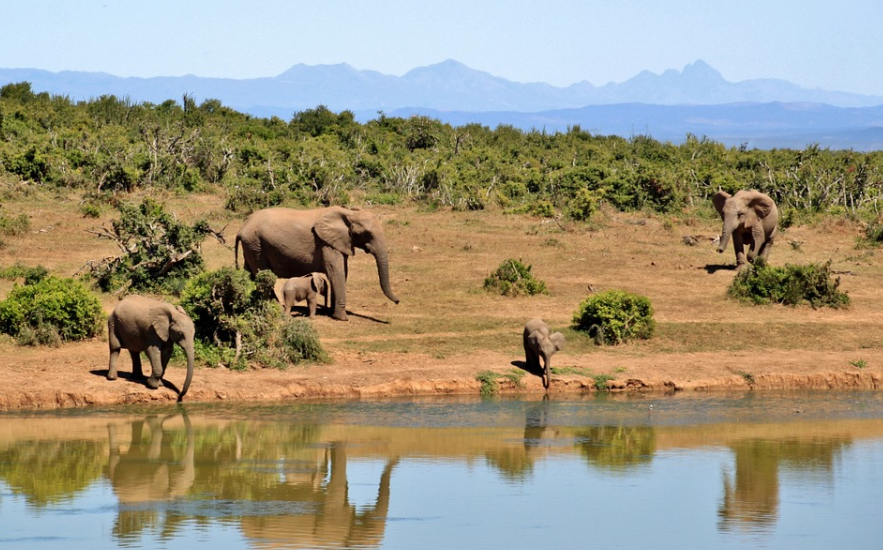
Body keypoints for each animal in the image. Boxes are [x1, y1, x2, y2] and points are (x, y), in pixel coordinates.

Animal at [235, 207, 400, 322]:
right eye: (366, 234)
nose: (398, 301)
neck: (348, 213)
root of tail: (242, 227)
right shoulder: (326, 243)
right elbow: (336, 272)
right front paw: (342, 318)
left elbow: (342, 272)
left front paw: (332, 313)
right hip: (256, 244)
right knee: (262, 275)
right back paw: (276, 308)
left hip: (251, 246)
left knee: (250, 274)